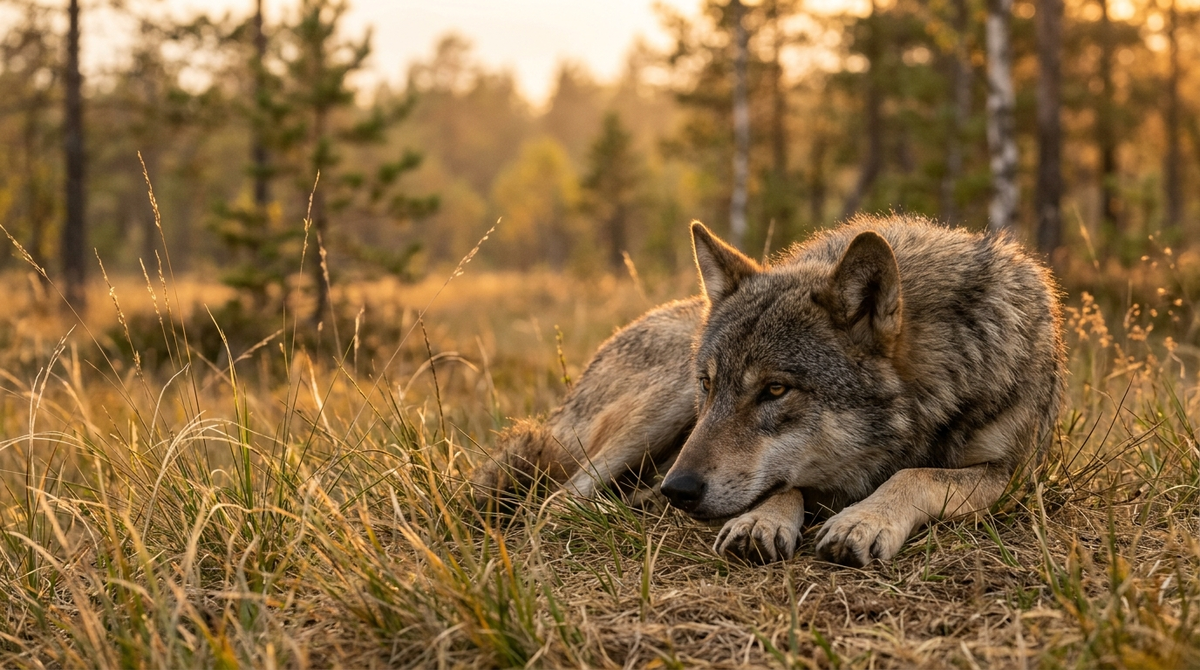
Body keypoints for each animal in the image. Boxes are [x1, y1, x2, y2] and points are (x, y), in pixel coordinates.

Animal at [472, 214, 1065, 567]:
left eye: (776, 390)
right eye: (710, 385)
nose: (679, 490)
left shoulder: (1013, 476)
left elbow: (916, 475)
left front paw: (864, 520)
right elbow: (785, 483)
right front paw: (762, 520)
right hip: (658, 411)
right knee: (557, 500)